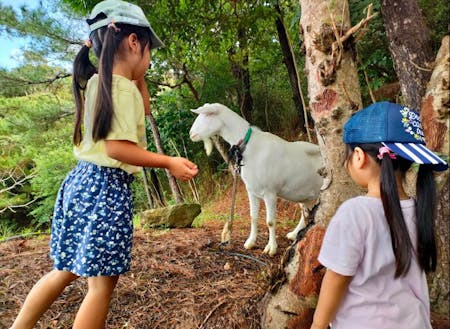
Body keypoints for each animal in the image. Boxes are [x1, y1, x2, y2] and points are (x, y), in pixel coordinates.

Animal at [190, 102, 324, 254]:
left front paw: (271, 248)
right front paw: (250, 242)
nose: (191, 134)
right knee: (305, 212)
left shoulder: (270, 192)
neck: (249, 147)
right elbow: (253, 217)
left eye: (207, 115)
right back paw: (294, 234)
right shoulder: (252, 190)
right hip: (304, 193)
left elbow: (270, 222)